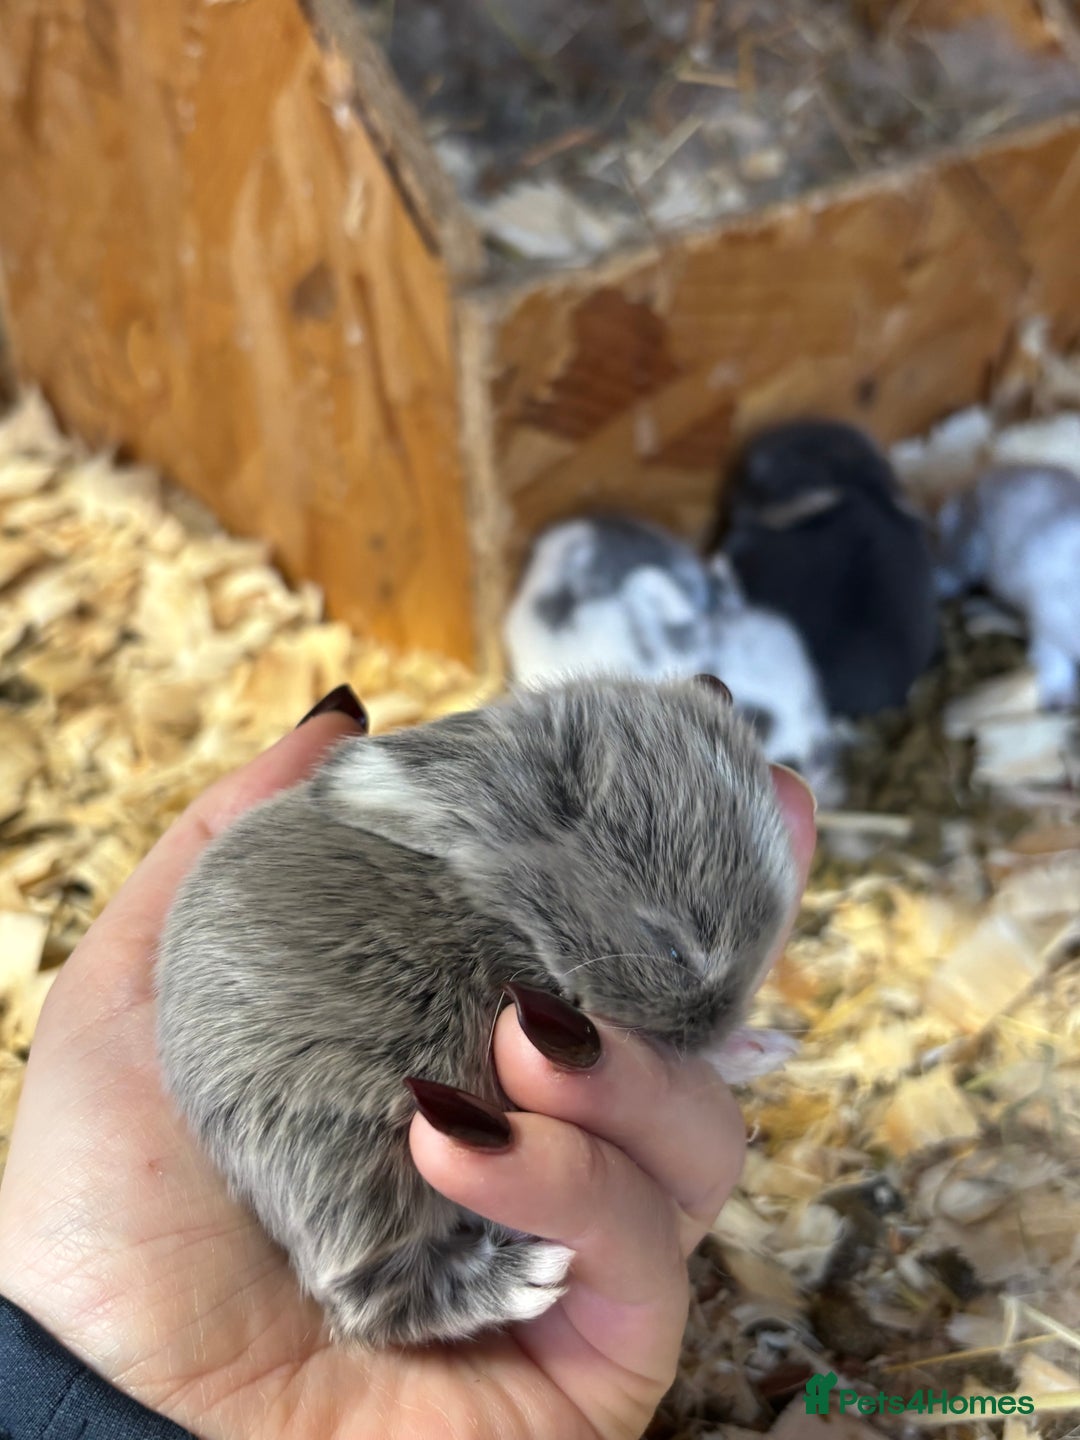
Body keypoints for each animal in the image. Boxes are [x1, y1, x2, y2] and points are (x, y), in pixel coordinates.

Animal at [155, 677, 800, 1350]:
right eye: (668, 944)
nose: (718, 1023)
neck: (499, 901)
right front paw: (754, 1050)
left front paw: (763, 1047)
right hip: (352, 1160)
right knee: (373, 1298)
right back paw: (528, 1277)